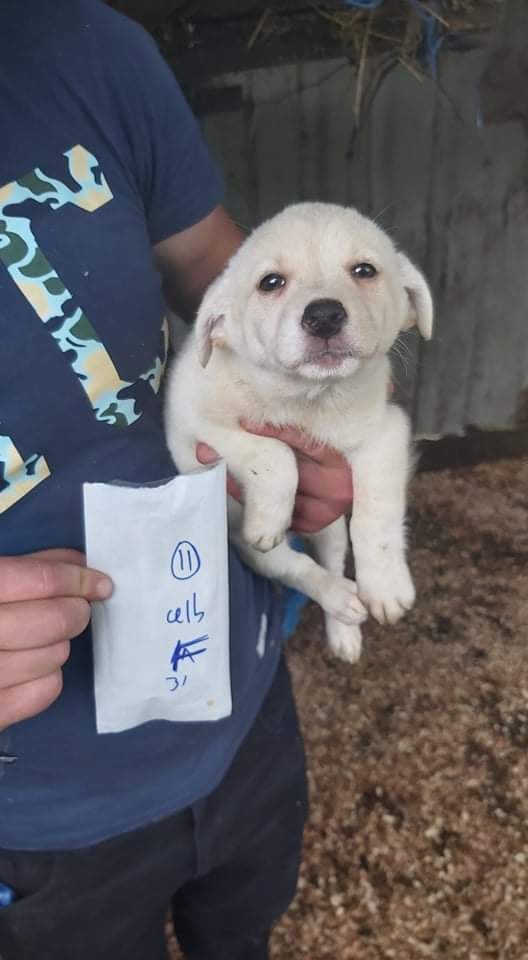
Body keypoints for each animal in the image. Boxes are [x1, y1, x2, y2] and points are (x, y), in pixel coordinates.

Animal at [166, 201, 434, 668]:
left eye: (364, 270)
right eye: (271, 282)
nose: (324, 315)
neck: (309, 401)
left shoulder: (386, 432)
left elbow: (377, 511)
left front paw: (385, 584)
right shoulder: (193, 429)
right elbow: (274, 453)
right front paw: (270, 515)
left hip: (329, 528)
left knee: (331, 558)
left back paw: (345, 623)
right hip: (247, 549)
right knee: (293, 567)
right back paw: (337, 595)